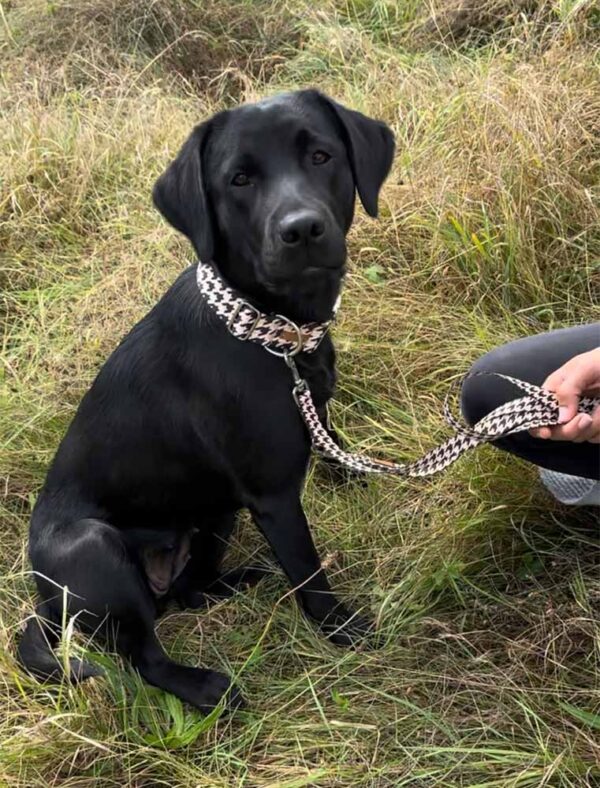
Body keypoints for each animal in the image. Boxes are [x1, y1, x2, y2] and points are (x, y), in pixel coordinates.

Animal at [17, 89, 394, 712]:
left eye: (321, 156)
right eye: (238, 179)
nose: (302, 230)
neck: (273, 334)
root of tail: (45, 603)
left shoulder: (311, 414)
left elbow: (334, 445)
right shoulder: (273, 497)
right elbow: (309, 571)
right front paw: (343, 629)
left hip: (215, 514)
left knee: (189, 591)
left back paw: (239, 582)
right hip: (95, 549)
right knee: (142, 657)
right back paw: (207, 686)